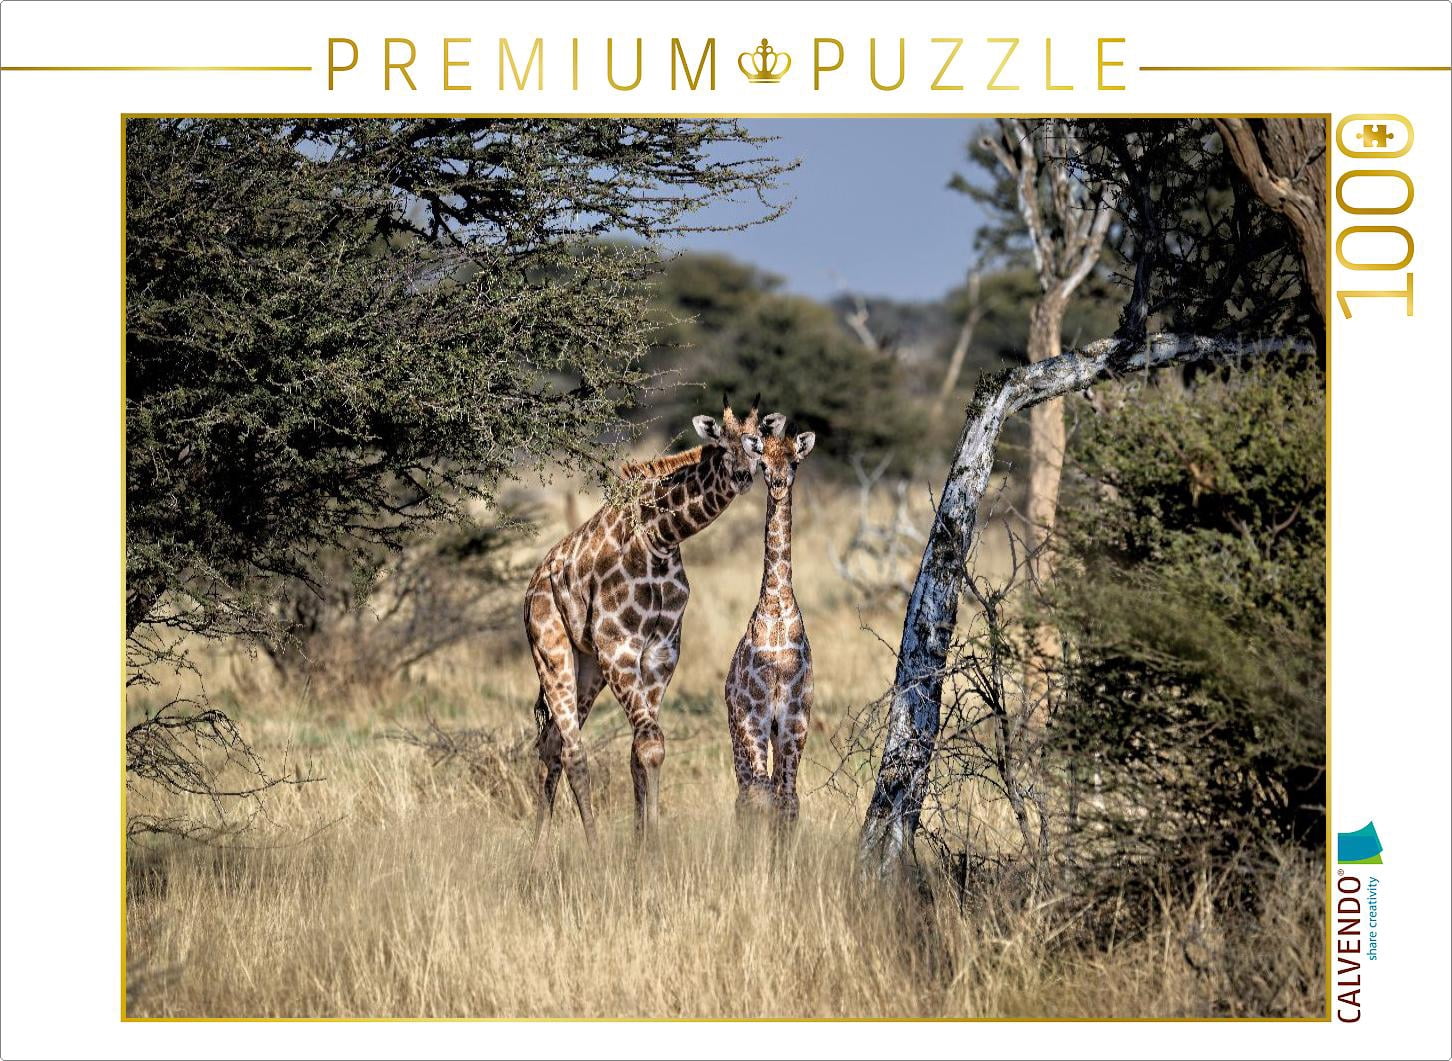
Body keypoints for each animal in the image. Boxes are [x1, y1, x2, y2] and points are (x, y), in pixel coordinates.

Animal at [524, 398, 782, 851]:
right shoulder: (619, 647)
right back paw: (593, 850)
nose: (742, 475)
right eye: (721, 443)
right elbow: (648, 745)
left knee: (551, 743)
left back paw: (536, 855)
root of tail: (533, 585)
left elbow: (645, 747)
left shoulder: (661, 652)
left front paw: (645, 844)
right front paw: (651, 846)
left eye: (756, 443)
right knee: (572, 749)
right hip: (551, 649)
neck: (659, 537)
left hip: (587, 664)